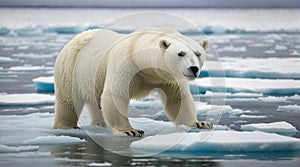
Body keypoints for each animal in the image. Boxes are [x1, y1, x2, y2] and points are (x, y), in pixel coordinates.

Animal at [54, 27, 213, 136]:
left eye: (198, 53)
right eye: (181, 53)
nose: (193, 68)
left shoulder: (168, 77)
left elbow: (178, 99)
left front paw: (200, 123)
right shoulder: (126, 64)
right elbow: (115, 94)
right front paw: (130, 131)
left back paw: (100, 124)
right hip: (71, 67)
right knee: (68, 99)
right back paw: (67, 126)